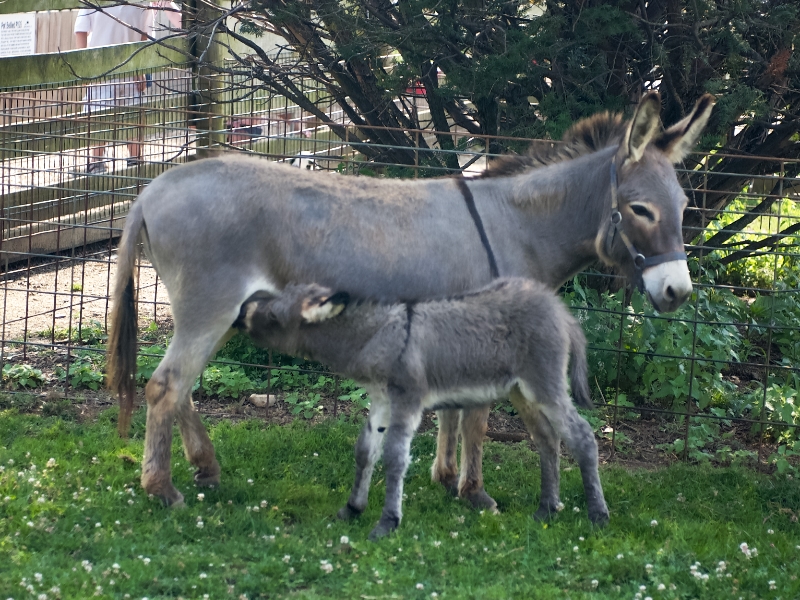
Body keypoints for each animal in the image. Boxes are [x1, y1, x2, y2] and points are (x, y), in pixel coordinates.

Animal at [238, 278, 608, 540]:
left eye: (274, 316)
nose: (242, 310)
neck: (376, 337)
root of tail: (560, 310)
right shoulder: (382, 401)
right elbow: (365, 451)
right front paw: (352, 509)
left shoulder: (407, 400)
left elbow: (394, 457)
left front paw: (386, 523)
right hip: (521, 390)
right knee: (547, 438)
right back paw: (546, 509)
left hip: (544, 384)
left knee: (582, 436)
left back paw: (598, 515)